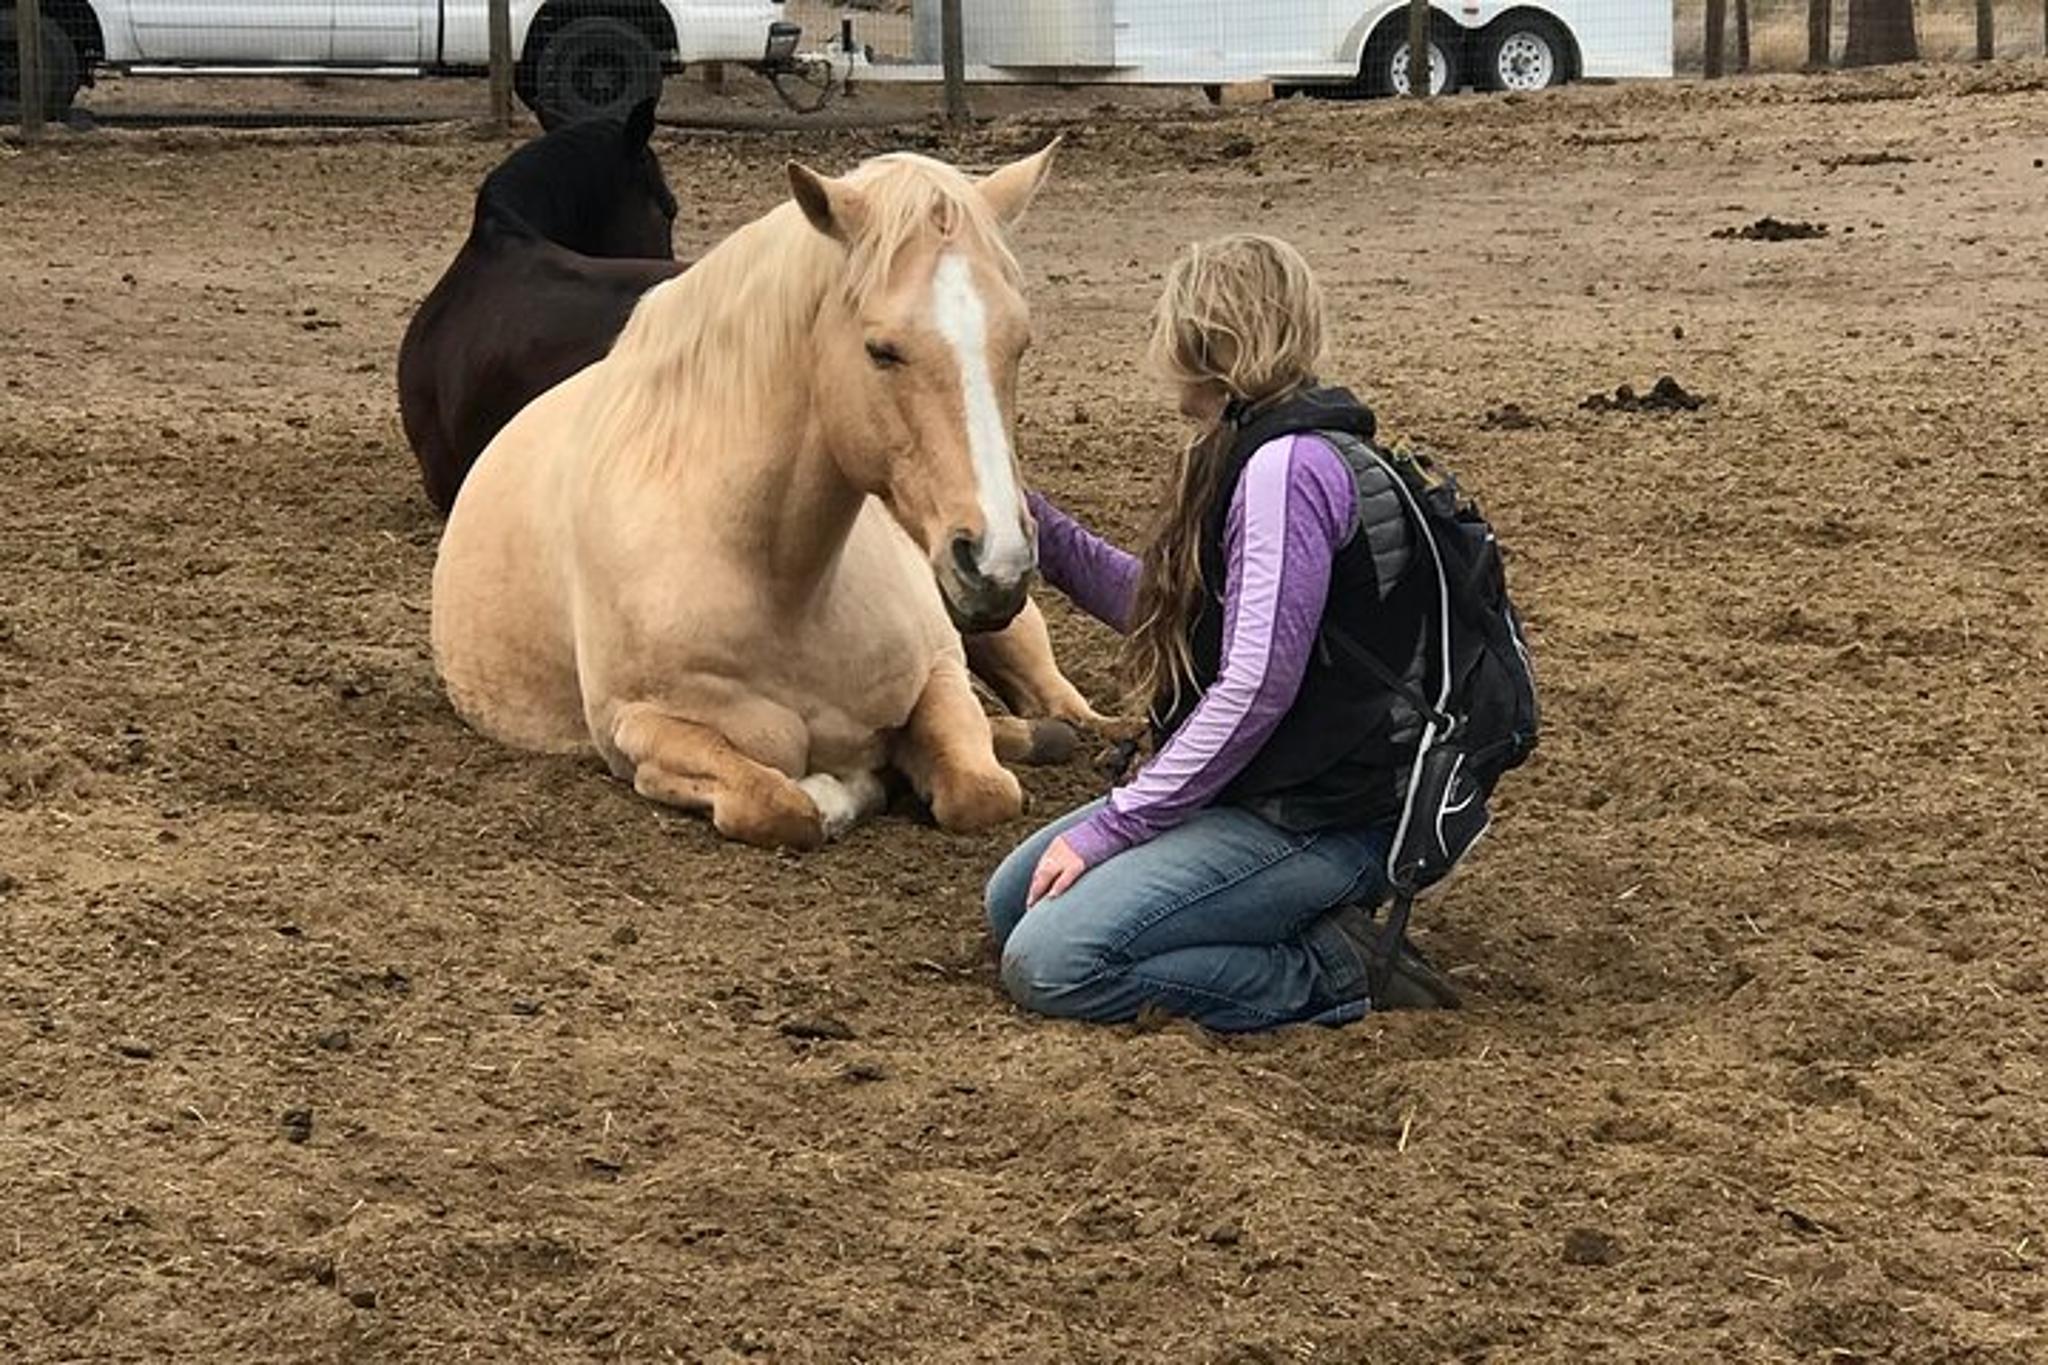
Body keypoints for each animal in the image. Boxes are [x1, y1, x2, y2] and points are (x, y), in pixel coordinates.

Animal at [433, 145, 1090, 848]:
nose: (998, 563)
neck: (783, 587)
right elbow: (777, 803)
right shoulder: (638, 727)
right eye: (881, 350)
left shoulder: (939, 669)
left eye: (1019, 343)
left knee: (1063, 706)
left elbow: (980, 791)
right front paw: (841, 791)